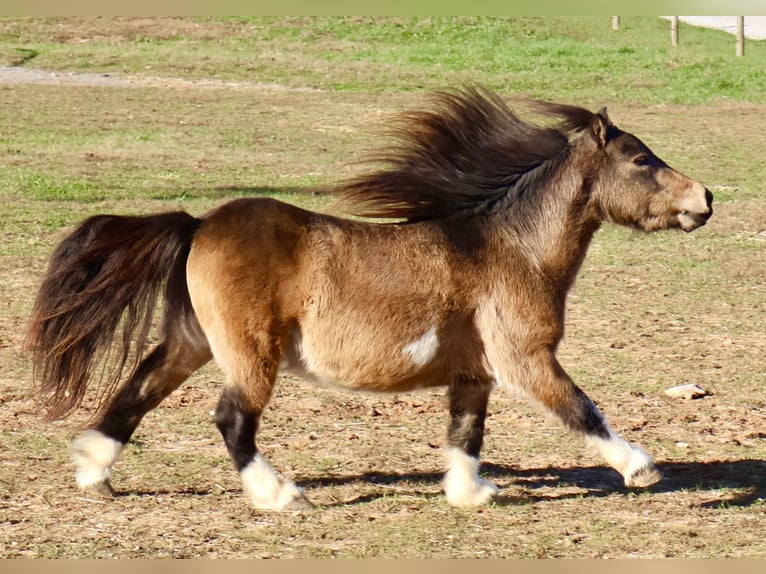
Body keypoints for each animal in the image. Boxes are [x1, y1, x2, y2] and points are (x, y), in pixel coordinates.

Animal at [25, 85, 712, 508]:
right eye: (641, 160)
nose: (705, 199)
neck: (513, 249)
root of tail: (198, 224)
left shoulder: (474, 372)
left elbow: (465, 435)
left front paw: (471, 493)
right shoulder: (525, 358)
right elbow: (580, 408)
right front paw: (640, 467)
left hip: (191, 341)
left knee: (136, 393)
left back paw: (93, 473)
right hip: (251, 353)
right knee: (231, 418)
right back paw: (280, 495)